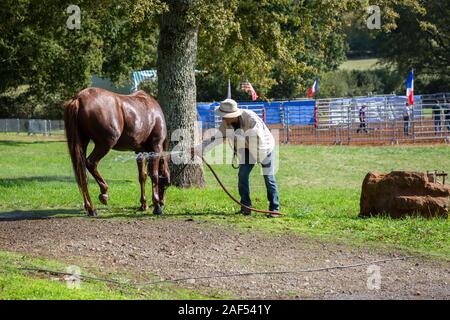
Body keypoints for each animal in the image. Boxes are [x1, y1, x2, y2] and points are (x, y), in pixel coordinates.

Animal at [63, 87, 169, 216]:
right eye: (166, 184)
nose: (163, 202)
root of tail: (79, 98)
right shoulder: (156, 148)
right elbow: (154, 175)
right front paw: (157, 206)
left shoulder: (139, 152)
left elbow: (142, 176)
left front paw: (144, 204)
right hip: (105, 144)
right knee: (91, 163)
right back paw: (103, 193)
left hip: (82, 142)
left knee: (82, 172)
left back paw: (90, 208)